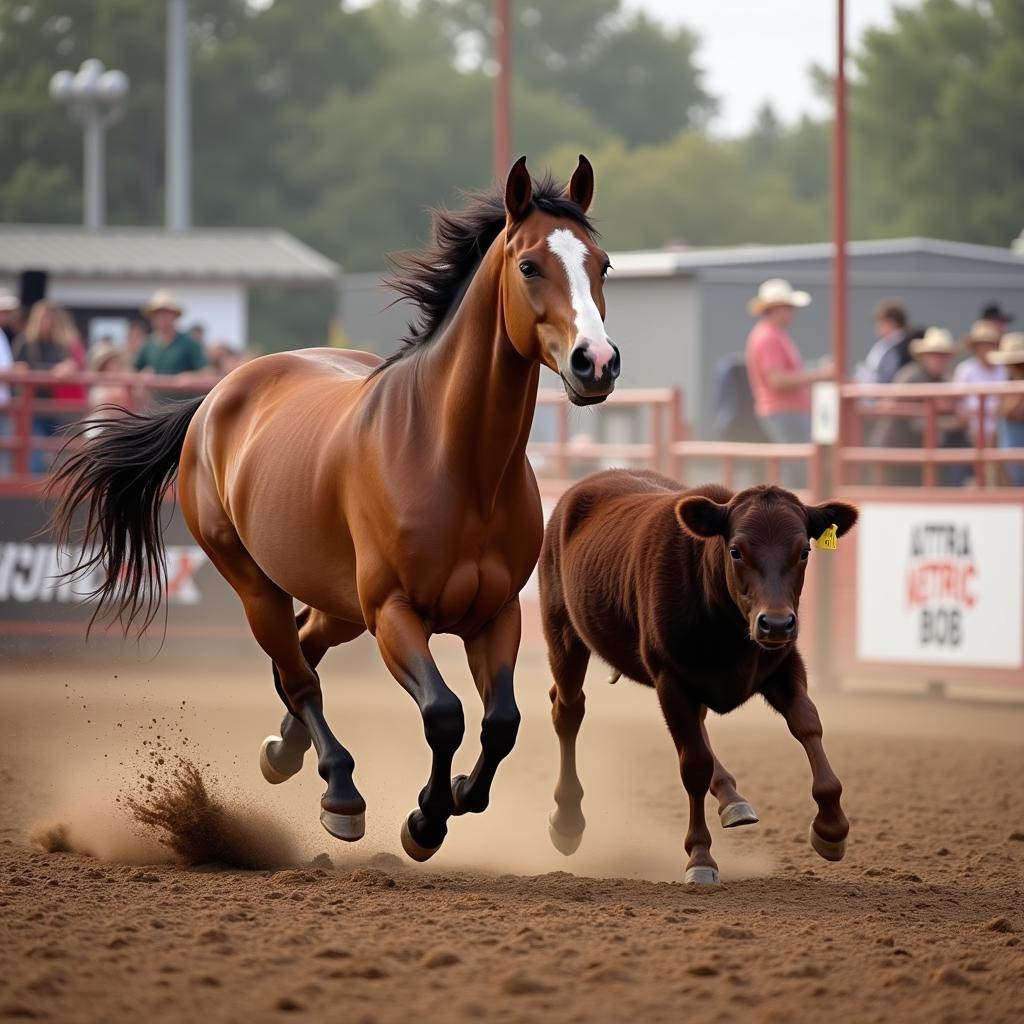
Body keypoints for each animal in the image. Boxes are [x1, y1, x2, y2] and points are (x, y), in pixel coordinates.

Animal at [51, 157, 618, 864]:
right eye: (531, 266)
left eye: (602, 265)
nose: (596, 363)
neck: (456, 465)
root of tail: (217, 394)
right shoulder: (395, 613)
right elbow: (444, 715)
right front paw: (424, 821)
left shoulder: (494, 614)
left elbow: (501, 723)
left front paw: (460, 794)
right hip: (258, 585)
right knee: (298, 675)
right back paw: (339, 793)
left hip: (341, 604)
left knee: (303, 648)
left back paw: (283, 752)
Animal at [540, 468, 860, 880]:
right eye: (736, 550)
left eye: (804, 551)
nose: (775, 624)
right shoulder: (670, 679)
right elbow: (693, 764)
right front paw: (700, 856)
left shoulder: (783, 663)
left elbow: (807, 724)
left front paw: (832, 826)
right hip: (563, 632)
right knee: (568, 709)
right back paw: (567, 819)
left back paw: (732, 797)